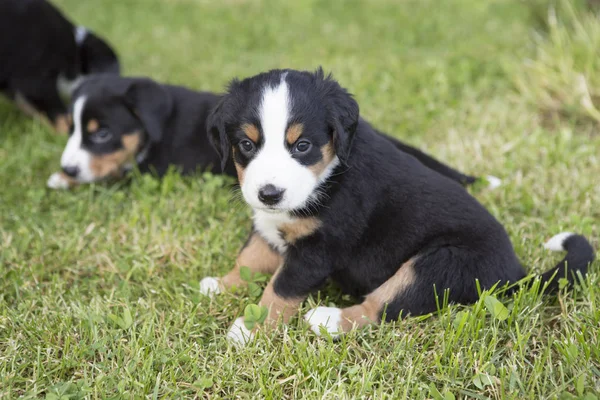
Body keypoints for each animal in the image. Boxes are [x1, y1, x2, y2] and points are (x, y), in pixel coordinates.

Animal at [44, 75, 488, 191]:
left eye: (102, 134)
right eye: (72, 129)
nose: (68, 167)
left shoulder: (155, 170)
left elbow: (114, 173)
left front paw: (63, 179)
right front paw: (62, 175)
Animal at [202, 68, 596, 344]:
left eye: (302, 146)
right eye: (246, 144)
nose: (269, 194)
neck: (328, 174)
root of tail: (516, 273)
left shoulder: (318, 249)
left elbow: (280, 288)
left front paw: (250, 328)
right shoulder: (269, 225)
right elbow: (250, 256)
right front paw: (222, 284)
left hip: (437, 265)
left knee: (382, 307)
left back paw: (327, 319)